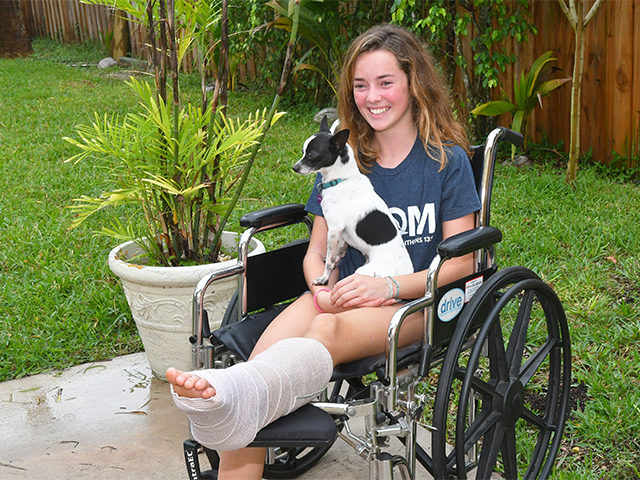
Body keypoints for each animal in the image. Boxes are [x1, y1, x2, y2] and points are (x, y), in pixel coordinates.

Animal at [292, 116, 412, 286]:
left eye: (311, 155)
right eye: (303, 152)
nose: (294, 167)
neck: (341, 180)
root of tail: (406, 274)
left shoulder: (334, 230)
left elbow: (329, 259)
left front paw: (324, 278)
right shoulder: (341, 235)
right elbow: (336, 255)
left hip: (364, 272)